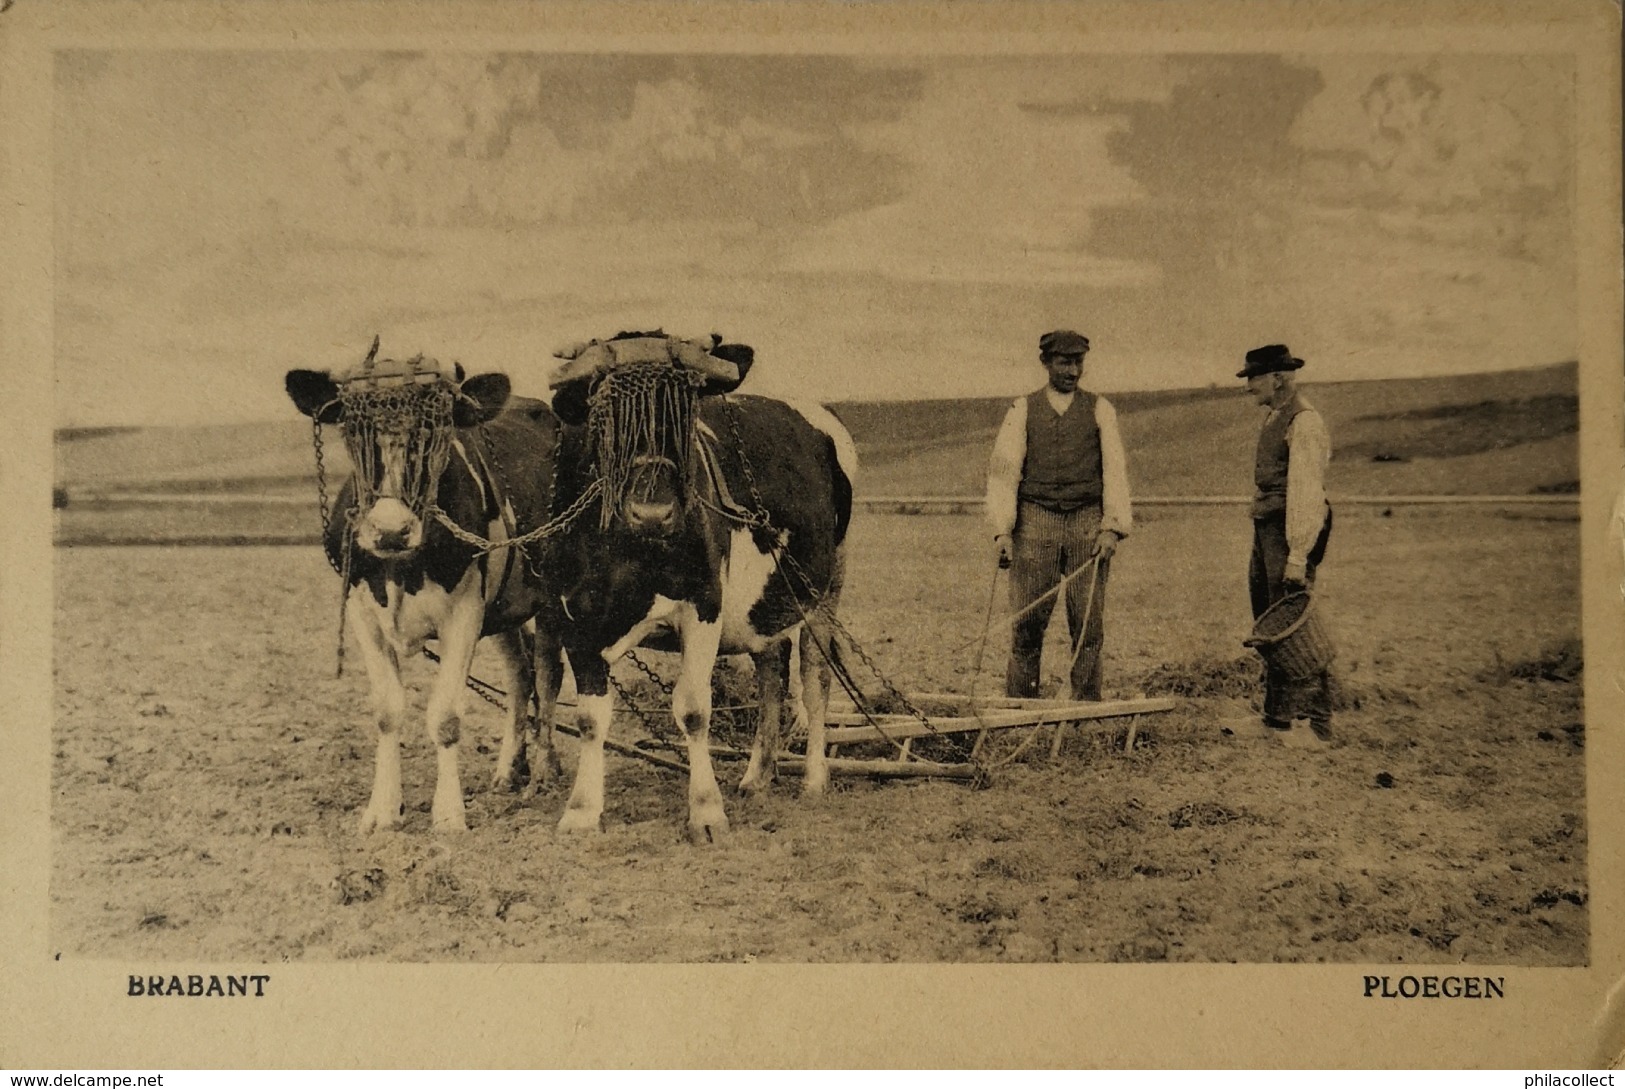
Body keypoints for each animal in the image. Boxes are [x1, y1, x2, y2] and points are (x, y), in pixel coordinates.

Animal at [289, 341, 568, 838]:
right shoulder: (362, 609)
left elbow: (446, 715)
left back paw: (543, 773)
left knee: (547, 673)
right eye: (352, 431)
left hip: (552, 594)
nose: (390, 530)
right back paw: (507, 771)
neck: (403, 567)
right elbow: (386, 710)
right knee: (519, 675)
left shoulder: (465, 612)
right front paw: (382, 811)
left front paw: (449, 814)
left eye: (434, 431)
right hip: (504, 608)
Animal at [539, 329, 858, 845]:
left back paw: (813, 779)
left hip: (826, 590)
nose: (653, 514)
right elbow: (589, 717)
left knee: (815, 679)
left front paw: (706, 810)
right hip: (763, 603)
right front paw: (582, 810)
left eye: (687, 418)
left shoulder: (704, 603)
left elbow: (692, 709)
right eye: (604, 420)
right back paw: (757, 776)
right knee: (772, 672)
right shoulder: (575, 615)